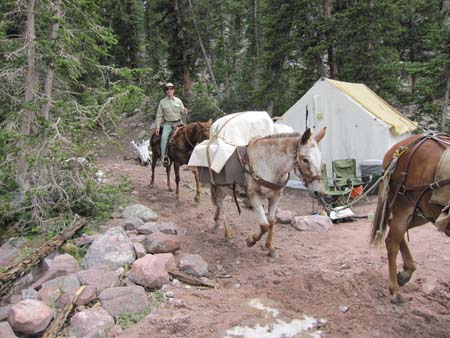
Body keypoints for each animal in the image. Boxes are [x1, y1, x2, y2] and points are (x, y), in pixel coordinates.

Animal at [209, 127, 326, 256]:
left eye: (321, 158)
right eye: (305, 159)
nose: (319, 192)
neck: (269, 165)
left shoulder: (276, 197)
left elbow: (272, 221)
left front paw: (270, 247)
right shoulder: (253, 197)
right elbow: (265, 225)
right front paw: (251, 241)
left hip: (225, 189)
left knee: (219, 205)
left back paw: (217, 222)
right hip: (218, 187)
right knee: (222, 207)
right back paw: (227, 235)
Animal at [370, 132, 450, 304]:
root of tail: (397, 149)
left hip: (422, 212)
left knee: (393, 229)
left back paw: (406, 272)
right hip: (404, 207)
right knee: (392, 242)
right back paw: (395, 290)